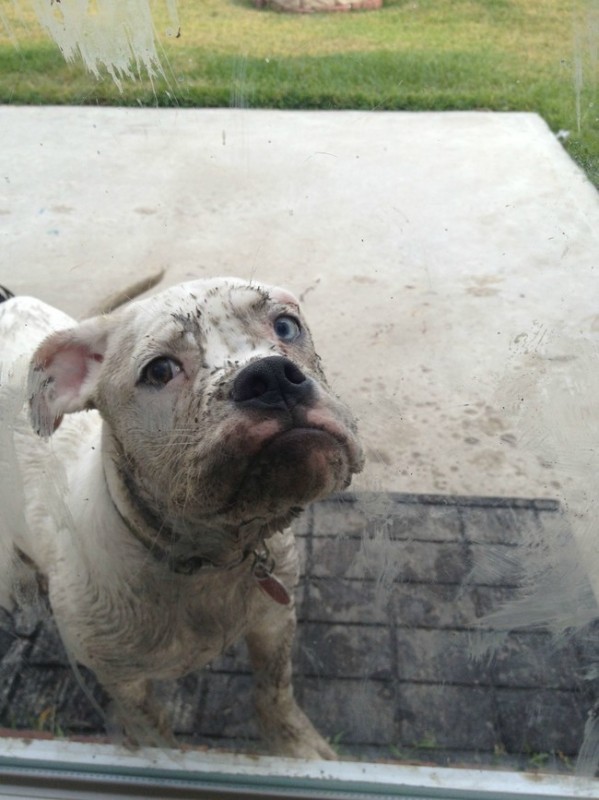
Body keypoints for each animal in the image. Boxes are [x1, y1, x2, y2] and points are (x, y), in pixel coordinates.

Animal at [0, 278, 364, 760]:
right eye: (159, 371)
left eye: (286, 325)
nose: (269, 376)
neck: (208, 566)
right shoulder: (125, 683)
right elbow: (156, 732)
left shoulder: (273, 622)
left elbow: (275, 692)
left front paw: (298, 747)